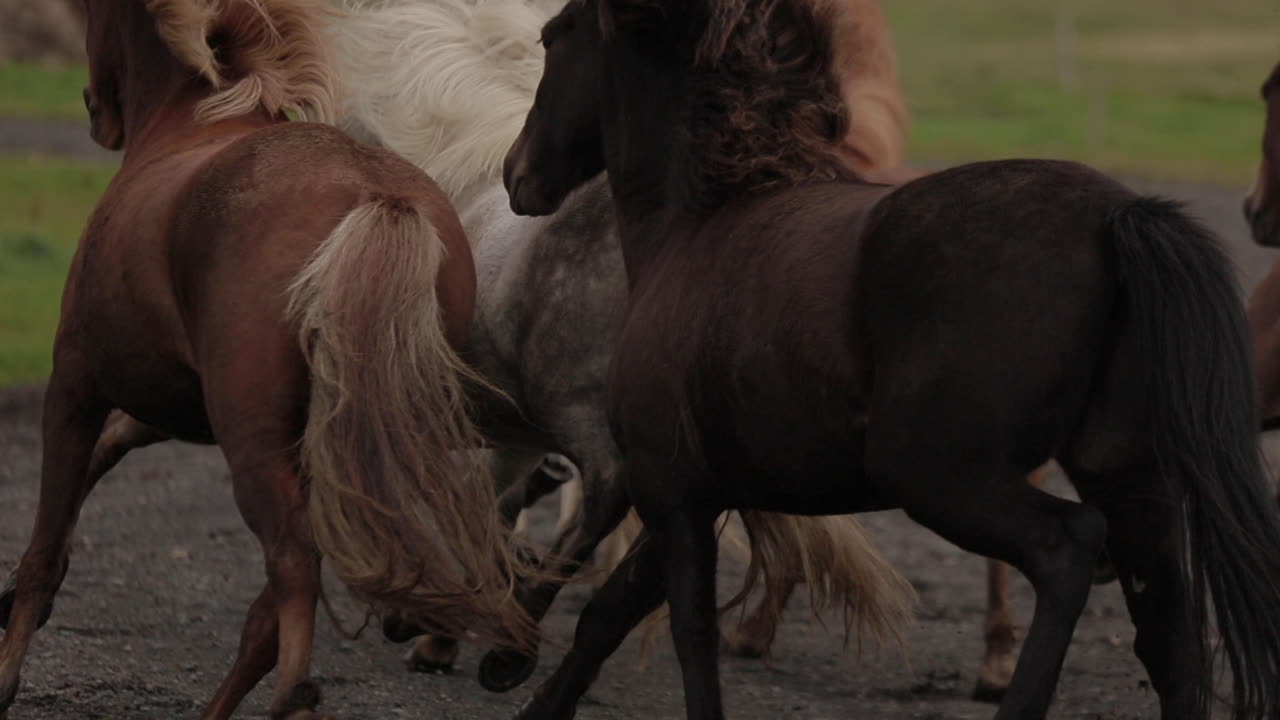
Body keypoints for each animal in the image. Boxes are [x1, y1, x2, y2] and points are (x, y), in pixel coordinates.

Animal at [0, 1, 535, 718]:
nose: (93, 108)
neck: (192, 122)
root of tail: (378, 198)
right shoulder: (172, 402)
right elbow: (101, 461)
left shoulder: (76, 383)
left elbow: (48, 532)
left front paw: (8, 667)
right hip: (324, 437)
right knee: (271, 605)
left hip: (251, 437)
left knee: (290, 563)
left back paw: (294, 697)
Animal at [332, 0, 914, 689]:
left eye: (555, 40)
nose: (519, 178)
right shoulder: (513, 436)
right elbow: (492, 503)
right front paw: (437, 624)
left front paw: (434, 620)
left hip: (586, 414)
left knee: (609, 492)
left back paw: (515, 646)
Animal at [502, 0, 1280, 718]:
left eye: (552, 36)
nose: (517, 173)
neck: (694, 232)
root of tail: (1116, 217)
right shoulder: (702, 484)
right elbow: (612, 612)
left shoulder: (666, 480)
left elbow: (687, 633)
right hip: (1126, 476)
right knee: (1170, 639)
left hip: (943, 477)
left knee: (1071, 550)